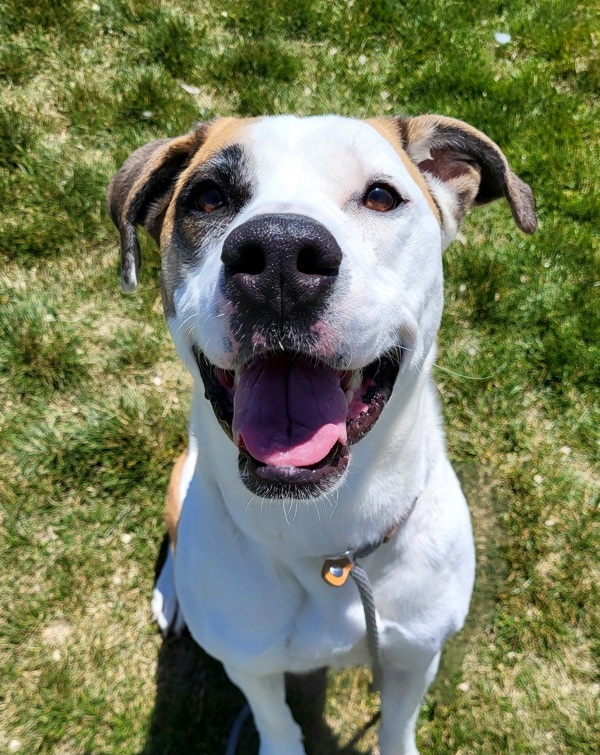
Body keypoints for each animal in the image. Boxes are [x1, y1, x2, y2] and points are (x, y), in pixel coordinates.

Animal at [109, 113, 540, 755]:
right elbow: (276, 720)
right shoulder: (252, 665)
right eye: (207, 197)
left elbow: (397, 726)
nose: (279, 254)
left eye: (382, 196)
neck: (327, 544)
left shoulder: (415, 658)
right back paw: (173, 592)